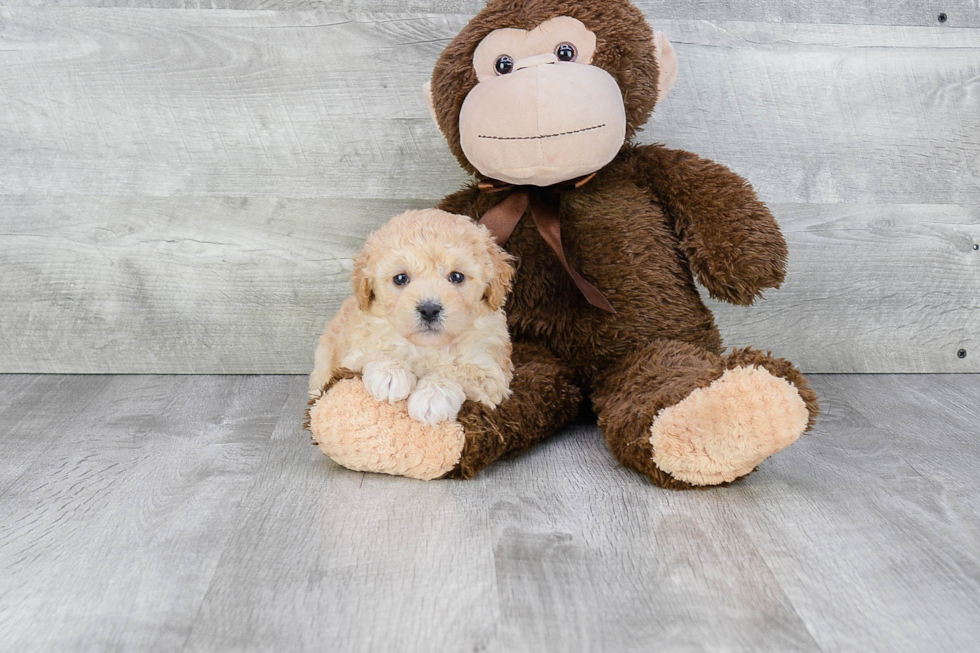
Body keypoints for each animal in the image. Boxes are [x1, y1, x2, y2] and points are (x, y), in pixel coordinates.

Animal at [310, 208, 516, 422]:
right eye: (401, 278)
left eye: (457, 277)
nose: (429, 310)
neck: (427, 348)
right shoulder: (353, 354)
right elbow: (375, 351)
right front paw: (390, 373)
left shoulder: (492, 371)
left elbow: (455, 370)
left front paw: (433, 395)